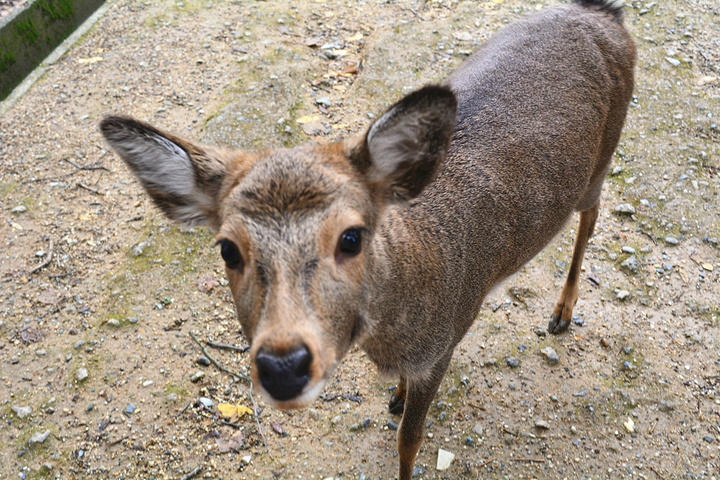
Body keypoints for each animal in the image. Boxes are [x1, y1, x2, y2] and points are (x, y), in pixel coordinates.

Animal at [100, 0, 635, 477]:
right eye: (228, 248)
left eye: (352, 237)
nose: (283, 366)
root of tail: (606, 14)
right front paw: (394, 397)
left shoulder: (443, 344)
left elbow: (409, 442)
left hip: (601, 160)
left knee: (592, 215)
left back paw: (562, 312)